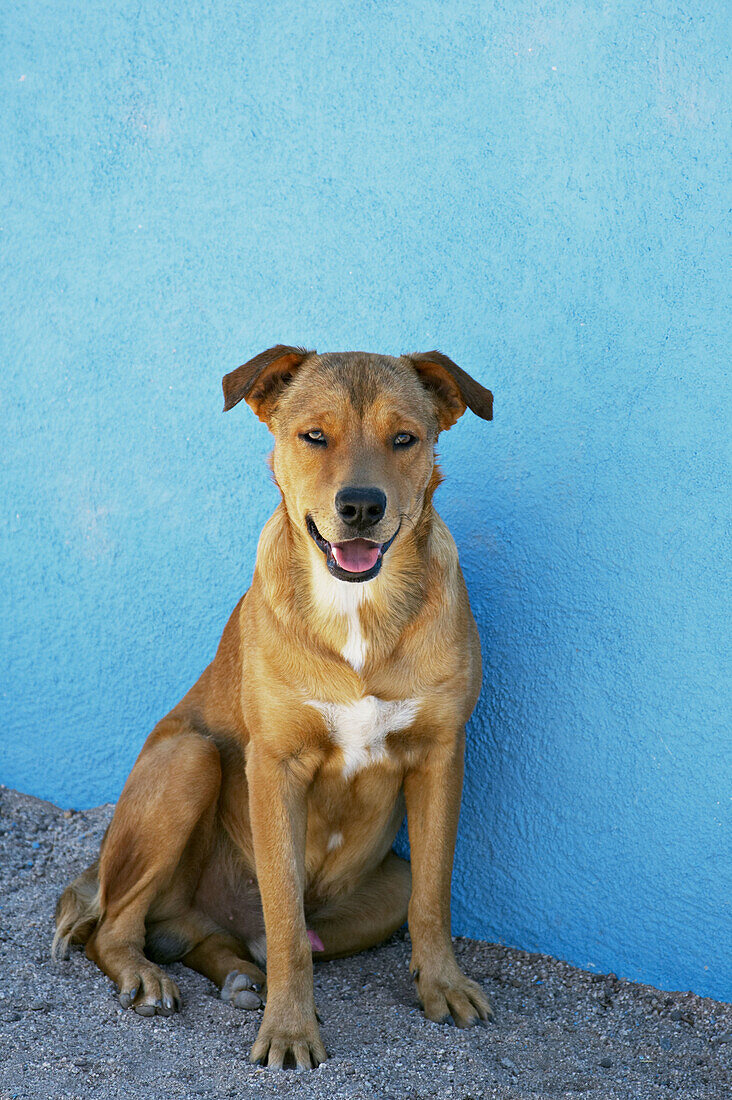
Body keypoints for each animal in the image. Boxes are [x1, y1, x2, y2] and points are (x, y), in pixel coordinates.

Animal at [55, 343, 490, 1064]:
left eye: (405, 439)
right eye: (314, 436)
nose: (361, 505)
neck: (356, 609)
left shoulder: (440, 757)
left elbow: (433, 897)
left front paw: (443, 985)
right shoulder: (275, 767)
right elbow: (286, 922)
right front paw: (290, 1028)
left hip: (373, 888)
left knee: (209, 934)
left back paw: (237, 973)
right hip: (190, 760)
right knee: (115, 925)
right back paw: (146, 976)